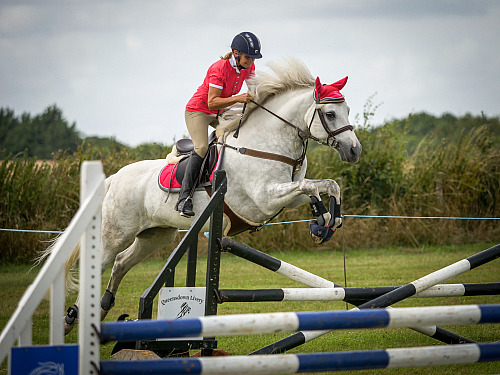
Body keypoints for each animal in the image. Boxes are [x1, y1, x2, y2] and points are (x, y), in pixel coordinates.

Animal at [52, 57, 362, 334]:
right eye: (330, 114)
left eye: (347, 109)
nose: (354, 151)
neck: (266, 144)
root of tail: (114, 178)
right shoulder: (265, 198)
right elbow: (311, 187)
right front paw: (321, 220)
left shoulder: (287, 193)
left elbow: (327, 185)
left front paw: (328, 222)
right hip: (116, 234)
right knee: (100, 265)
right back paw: (71, 318)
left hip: (155, 235)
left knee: (120, 263)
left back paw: (102, 308)